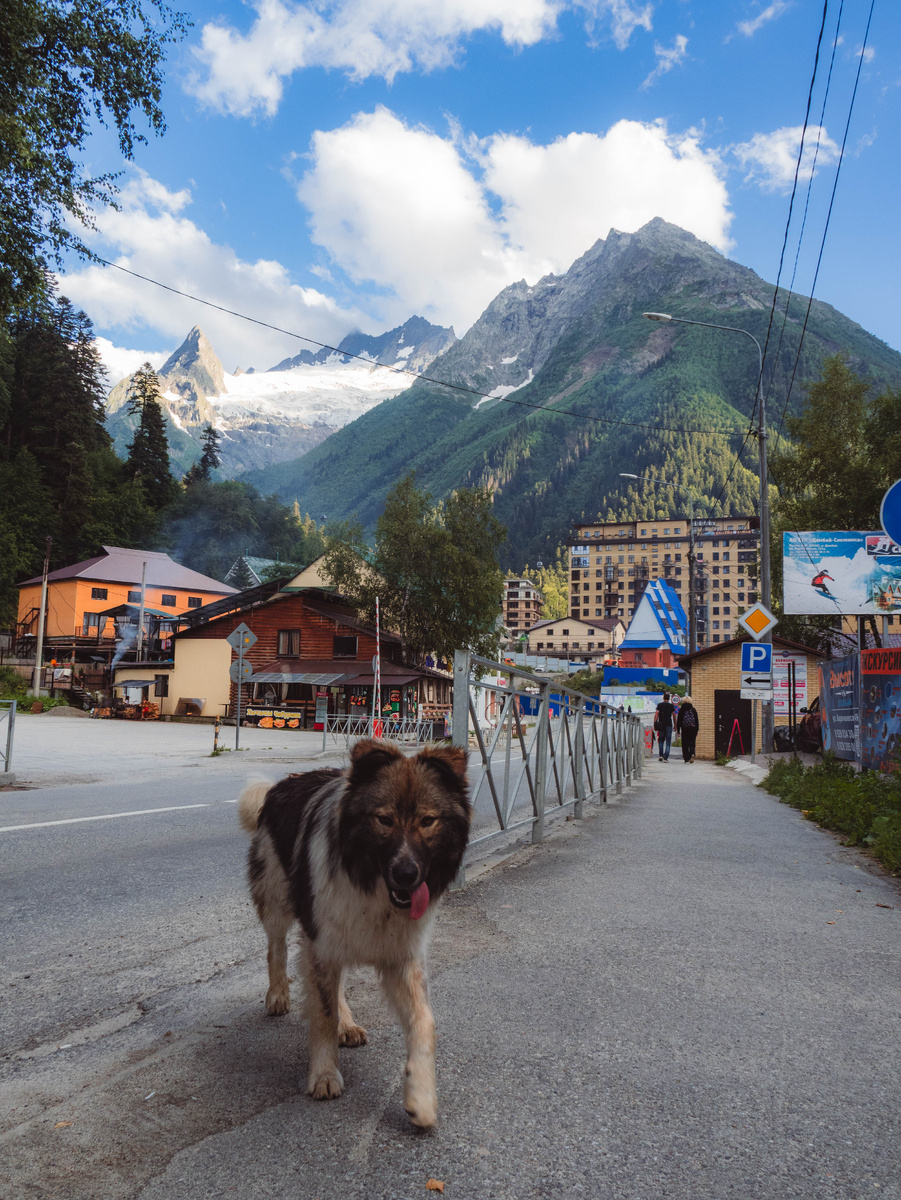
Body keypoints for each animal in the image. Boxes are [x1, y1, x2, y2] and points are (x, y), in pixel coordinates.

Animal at [237, 734, 472, 1128]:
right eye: (384, 820)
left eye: (427, 821)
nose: (407, 875)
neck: (373, 886)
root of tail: (282, 783)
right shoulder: (320, 942)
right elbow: (322, 1013)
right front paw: (324, 1074)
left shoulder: (402, 958)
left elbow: (425, 1023)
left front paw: (421, 1098)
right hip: (279, 902)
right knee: (276, 947)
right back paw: (278, 995)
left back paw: (347, 1024)